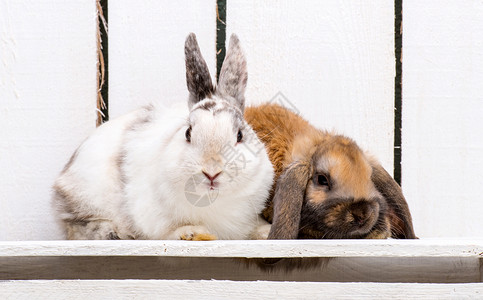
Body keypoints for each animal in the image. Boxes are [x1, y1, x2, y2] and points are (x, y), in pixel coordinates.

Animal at [52, 33, 276, 241]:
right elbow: (166, 234)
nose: (211, 172)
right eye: (188, 133)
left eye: (239, 135)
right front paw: (192, 233)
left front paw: (265, 232)